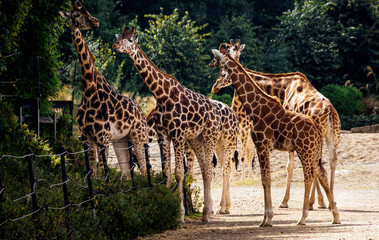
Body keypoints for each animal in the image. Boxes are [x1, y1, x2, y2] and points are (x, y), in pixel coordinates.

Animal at [59, 1, 148, 178]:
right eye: (76, 14)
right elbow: (93, 171)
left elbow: (103, 171)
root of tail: (141, 112)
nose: (96, 21)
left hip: (139, 136)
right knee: (127, 172)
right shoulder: (87, 136)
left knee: (145, 169)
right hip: (121, 140)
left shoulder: (102, 137)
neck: (89, 91)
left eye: (87, 11)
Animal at [111, 26, 239, 221]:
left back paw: (208, 213)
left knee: (212, 169)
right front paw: (168, 210)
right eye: (120, 37)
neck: (162, 95)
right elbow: (167, 172)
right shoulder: (163, 135)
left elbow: (179, 173)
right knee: (205, 169)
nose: (115, 45)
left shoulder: (178, 135)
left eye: (130, 40)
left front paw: (180, 214)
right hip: (197, 139)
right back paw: (207, 211)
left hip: (212, 137)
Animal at [212, 49, 340, 227]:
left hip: (305, 149)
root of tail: (316, 128)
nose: (214, 87)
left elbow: (266, 180)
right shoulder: (263, 146)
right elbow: (266, 179)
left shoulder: (262, 144)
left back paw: (303, 217)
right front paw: (267, 217)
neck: (256, 108)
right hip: (315, 149)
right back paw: (334, 215)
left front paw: (267, 218)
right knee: (322, 172)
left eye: (223, 73)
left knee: (309, 176)